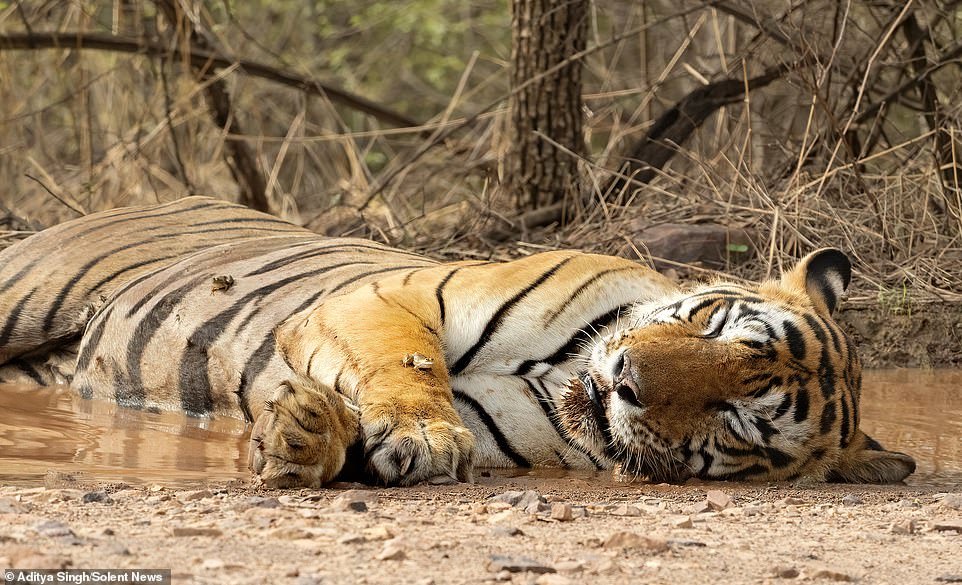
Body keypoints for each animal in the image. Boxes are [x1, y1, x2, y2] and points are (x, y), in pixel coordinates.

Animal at [0, 198, 912, 486]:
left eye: (739, 419)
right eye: (716, 324)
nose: (625, 378)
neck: (549, 377)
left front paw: (301, 437)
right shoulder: (387, 295)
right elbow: (405, 365)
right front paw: (420, 432)